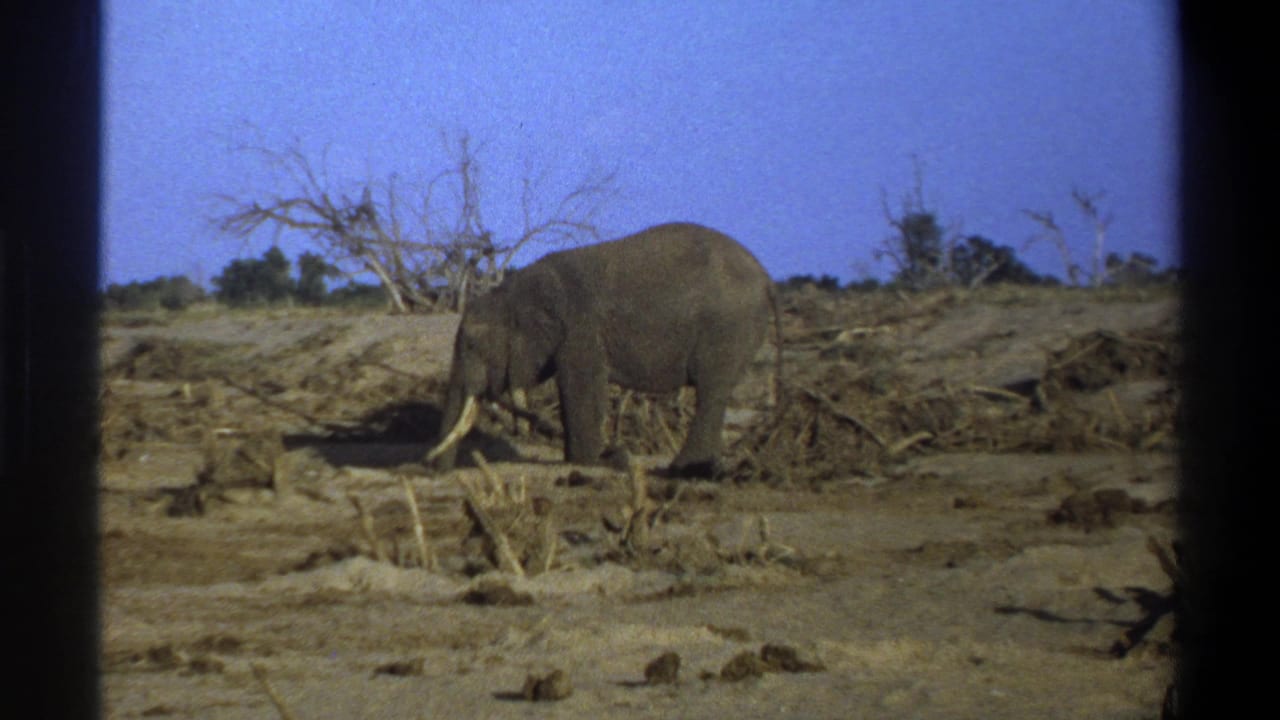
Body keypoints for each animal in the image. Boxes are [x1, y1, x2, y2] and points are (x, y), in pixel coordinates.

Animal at [425, 222, 777, 478]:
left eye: (473, 345)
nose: (433, 471)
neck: (514, 291)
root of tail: (767, 279)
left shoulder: (580, 328)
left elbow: (581, 386)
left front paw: (588, 462)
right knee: (715, 392)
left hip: (726, 327)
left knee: (710, 390)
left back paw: (682, 470)